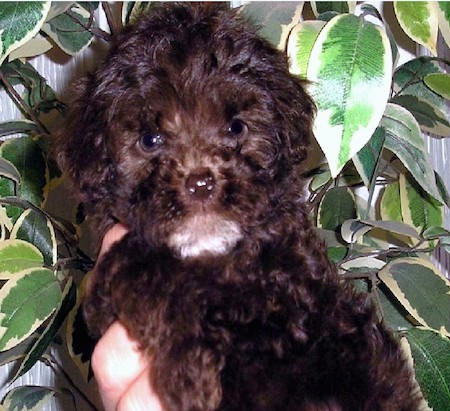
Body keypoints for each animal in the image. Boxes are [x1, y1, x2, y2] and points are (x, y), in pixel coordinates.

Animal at [57, 3, 422, 411]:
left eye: (236, 128)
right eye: (149, 140)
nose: (200, 183)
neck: (214, 254)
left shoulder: (310, 299)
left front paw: (190, 369)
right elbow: (138, 267)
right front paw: (191, 369)